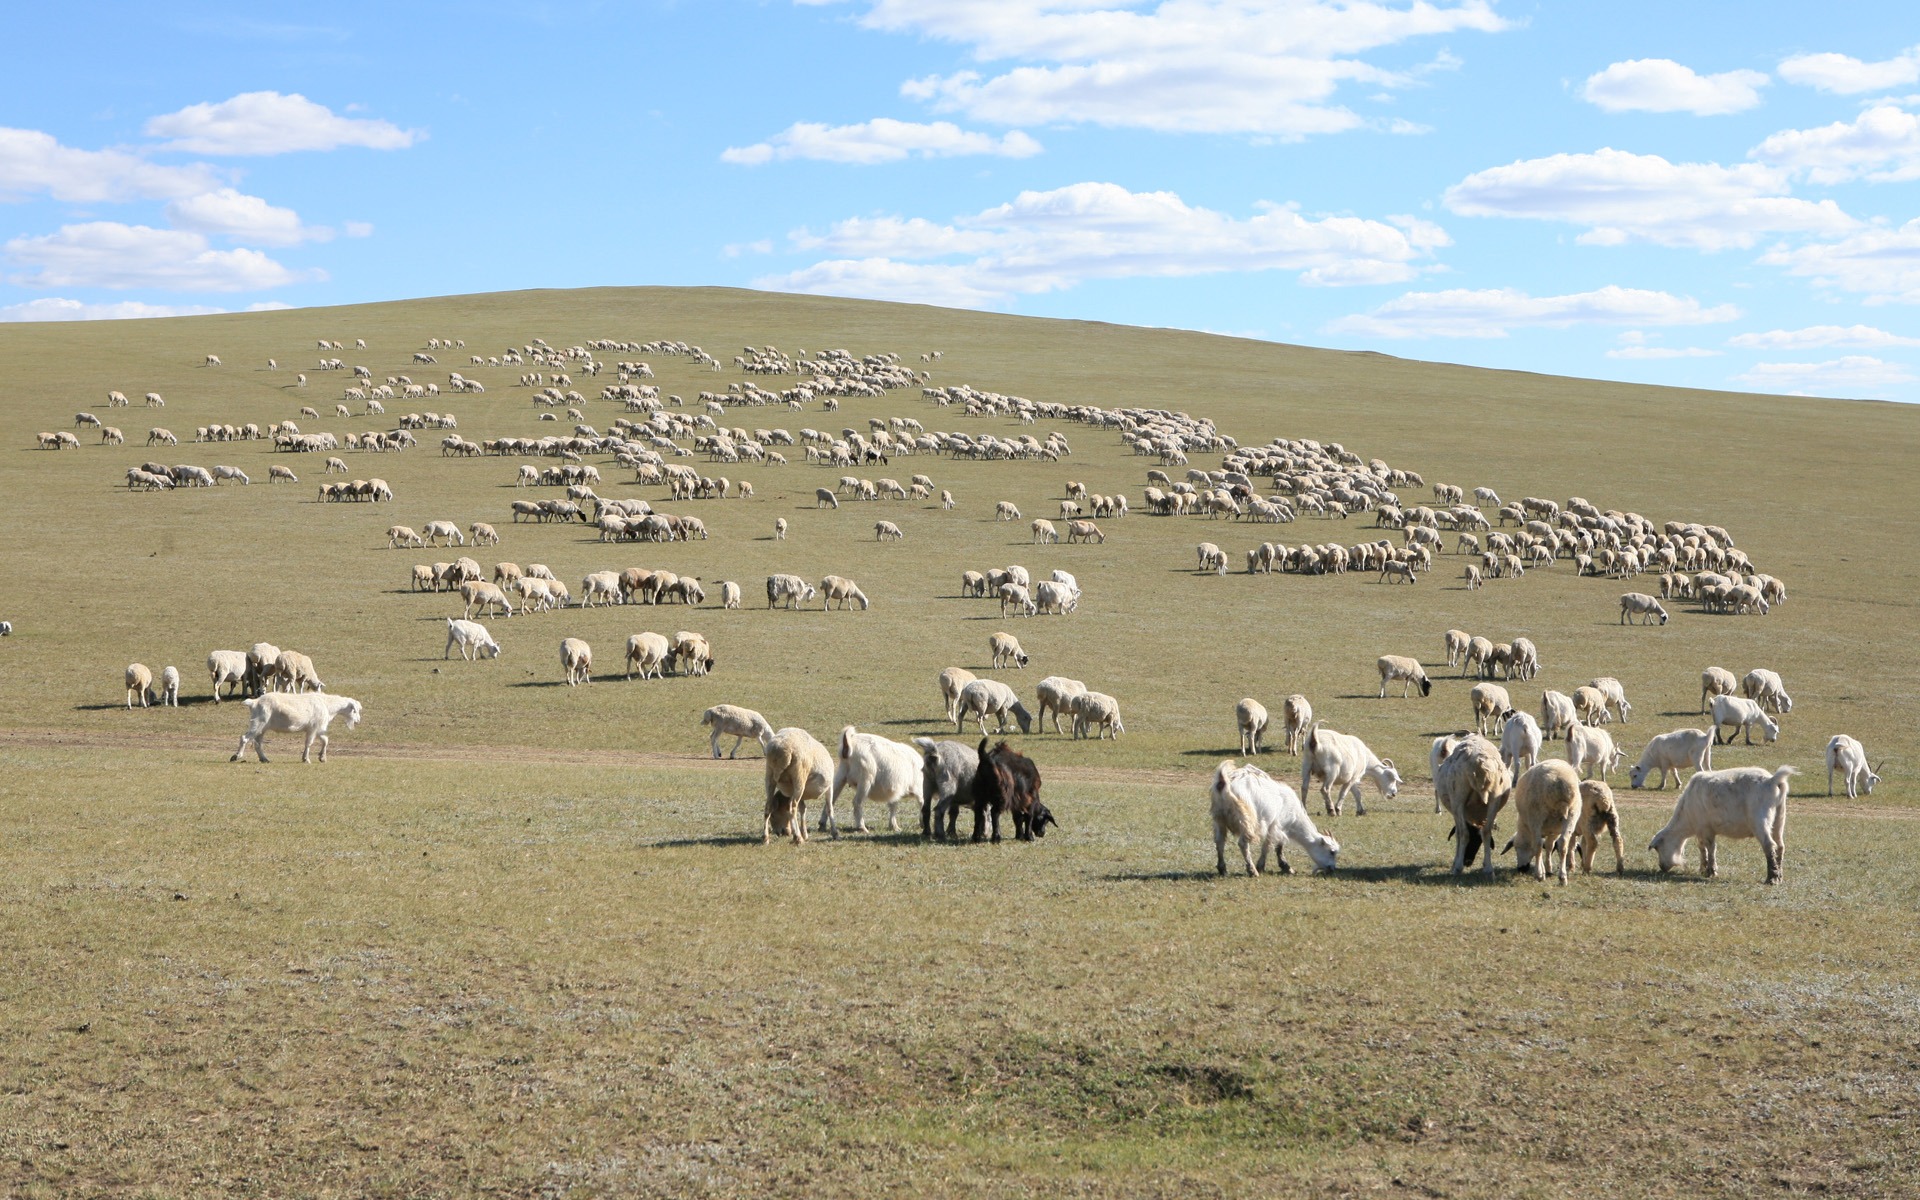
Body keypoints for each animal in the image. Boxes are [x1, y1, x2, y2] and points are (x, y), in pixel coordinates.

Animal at [230, 687, 360, 764]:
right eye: (355, 710)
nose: (358, 721)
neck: (327, 705)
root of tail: (254, 702)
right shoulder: (313, 728)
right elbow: (309, 743)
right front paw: (306, 759)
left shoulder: (318, 729)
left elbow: (325, 740)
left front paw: (322, 757)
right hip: (258, 723)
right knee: (245, 738)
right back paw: (237, 756)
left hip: (262, 727)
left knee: (257, 743)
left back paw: (264, 759)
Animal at [1205, 764, 1344, 875]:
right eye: (1332, 851)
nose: (1332, 868)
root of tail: (1224, 783)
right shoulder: (1276, 825)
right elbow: (1272, 846)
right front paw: (1278, 867)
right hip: (1247, 821)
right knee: (1243, 843)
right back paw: (1252, 871)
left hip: (1218, 819)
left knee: (1220, 842)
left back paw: (1222, 869)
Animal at [1643, 768, 1789, 879]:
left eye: (1657, 848)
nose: (1662, 867)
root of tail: (1772, 780)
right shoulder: (1701, 830)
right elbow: (1702, 848)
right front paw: (1703, 868)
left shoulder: (1706, 829)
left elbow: (1711, 848)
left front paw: (1711, 871)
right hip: (1779, 818)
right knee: (1780, 846)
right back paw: (1779, 875)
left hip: (1760, 819)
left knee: (1769, 845)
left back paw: (1772, 878)